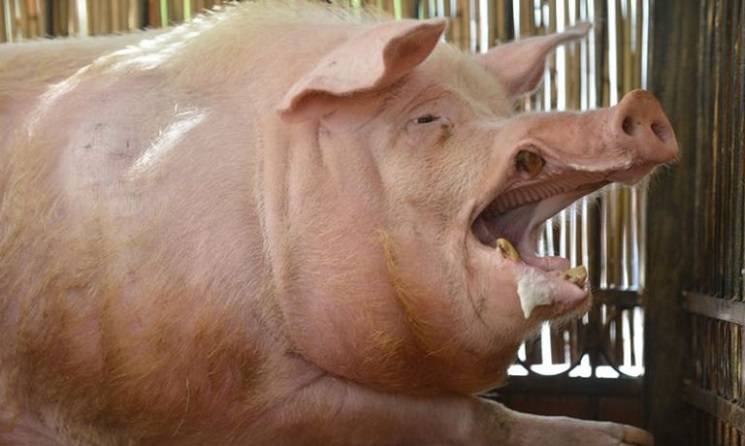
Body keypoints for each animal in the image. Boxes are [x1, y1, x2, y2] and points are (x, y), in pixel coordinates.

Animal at [0, 2, 678, 445]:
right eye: (426, 120)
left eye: (499, 109)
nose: (639, 102)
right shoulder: (207, 399)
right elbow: (469, 416)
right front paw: (627, 439)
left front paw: (628, 435)